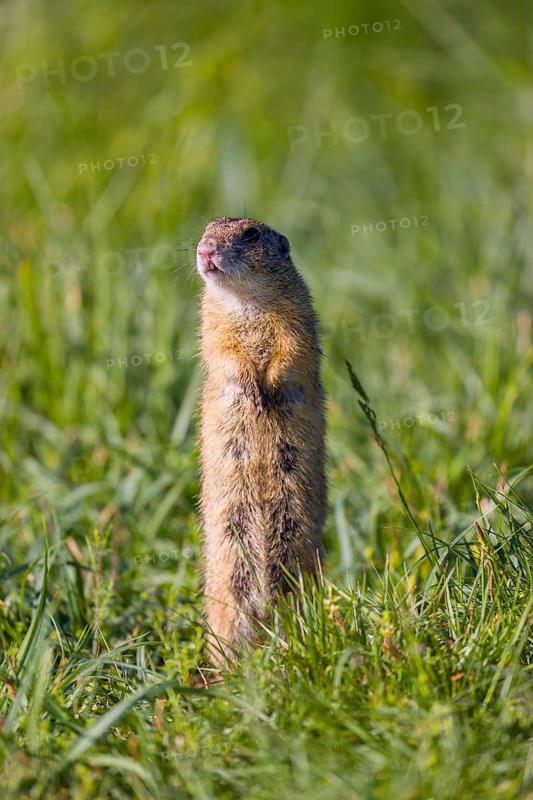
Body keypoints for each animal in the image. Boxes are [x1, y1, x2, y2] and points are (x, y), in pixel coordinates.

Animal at [196, 216, 326, 666]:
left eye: (251, 234)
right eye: (206, 226)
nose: (204, 249)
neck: (245, 301)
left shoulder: (297, 318)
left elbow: (292, 349)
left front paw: (268, 389)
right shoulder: (212, 325)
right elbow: (226, 355)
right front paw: (254, 395)